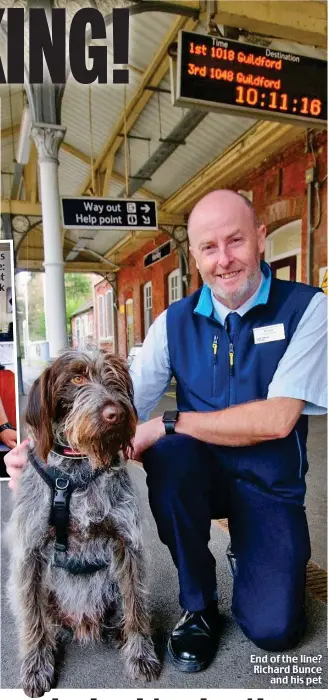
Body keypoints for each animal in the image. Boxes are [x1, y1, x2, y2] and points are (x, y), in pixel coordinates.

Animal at [6, 352, 160, 696]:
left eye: (115, 378)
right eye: (76, 379)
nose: (116, 413)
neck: (75, 470)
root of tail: (83, 623)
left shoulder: (127, 544)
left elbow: (136, 606)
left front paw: (140, 654)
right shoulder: (29, 554)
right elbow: (32, 619)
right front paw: (36, 667)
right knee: (45, 621)